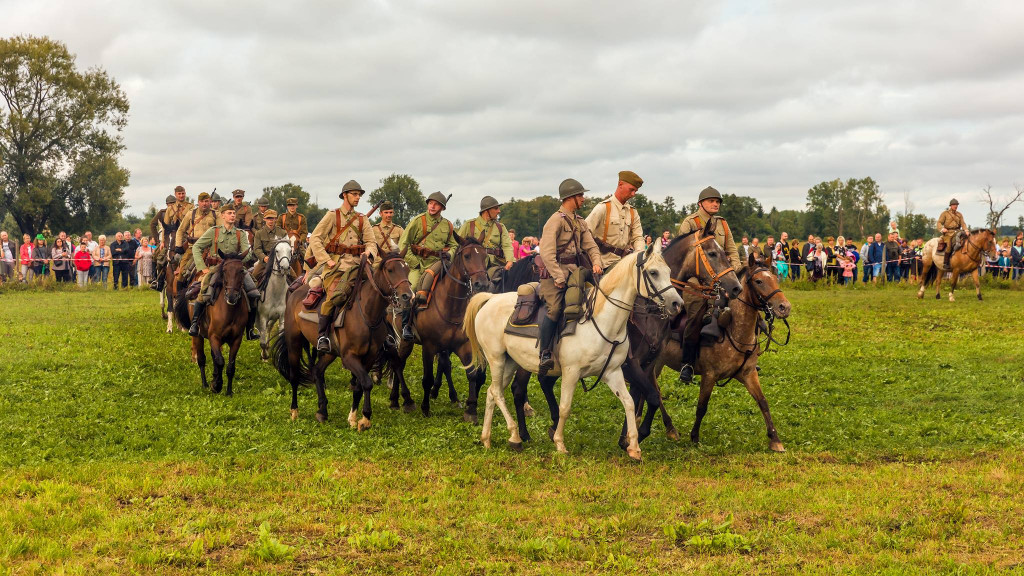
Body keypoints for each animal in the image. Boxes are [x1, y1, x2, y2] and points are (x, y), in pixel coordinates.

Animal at [173, 252, 250, 393]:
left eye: (241, 270)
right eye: (224, 271)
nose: (231, 296)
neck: (229, 311)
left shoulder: (236, 340)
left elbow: (230, 366)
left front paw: (228, 391)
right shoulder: (214, 336)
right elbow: (219, 361)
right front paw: (216, 385)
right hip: (198, 336)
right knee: (202, 359)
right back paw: (205, 384)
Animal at [276, 251, 415, 426]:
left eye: (407, 269)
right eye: (390, 270)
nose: (408, 296)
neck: (367, 314)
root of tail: (294, 293)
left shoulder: (369, 357)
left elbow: (360, 385)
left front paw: (353, 417)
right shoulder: (349, 357)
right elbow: (367, 383)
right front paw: (365, 418)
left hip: (330, 352)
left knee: (317, 371)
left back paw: (322, 410)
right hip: (294, 343)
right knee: (294, 377)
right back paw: (294, 411)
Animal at [387, 233, 491, 416]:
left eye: (485, 256)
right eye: (467, 256)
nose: (482, 284)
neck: (450, 306)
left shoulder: (462, 346)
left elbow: (471, 373)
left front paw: (471, 409)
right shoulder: (429, 347)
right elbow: (427, 379)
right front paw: (425, 408)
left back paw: (397, 399)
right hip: (405, 341)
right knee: (398, 364)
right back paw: (403, 400)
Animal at [468, 243, 684, 459]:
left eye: (669, 271)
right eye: (653, 272)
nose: (677, 304)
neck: (601, 322)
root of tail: (490, 299)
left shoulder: (613, 372)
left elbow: (629, 402)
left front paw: (634, 447)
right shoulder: (572, 372)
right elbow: (565, 407)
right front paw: (559, 443)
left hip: (510, 362)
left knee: (492, 392)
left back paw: (487, 438)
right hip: (496, 359)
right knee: (499, 392)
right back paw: (515, 435)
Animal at [651, 251, 794, 453]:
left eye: (775, 278)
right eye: (758, 281)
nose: (784, 307)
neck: (734, 331)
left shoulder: (748, 374)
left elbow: (763, 402)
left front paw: (775, 439)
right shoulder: (709, 375)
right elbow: (702, 406)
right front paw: (694, 437)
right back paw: (668, 428)